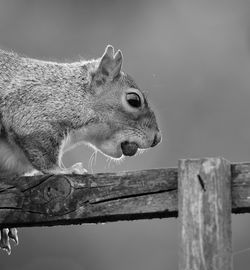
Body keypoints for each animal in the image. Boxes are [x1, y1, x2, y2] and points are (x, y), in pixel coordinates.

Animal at [0, 44, 161, 253]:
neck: (75, 95)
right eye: (134, 100)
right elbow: (44, 157)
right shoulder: (33, 112)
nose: (157, 138)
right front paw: (66, 170)